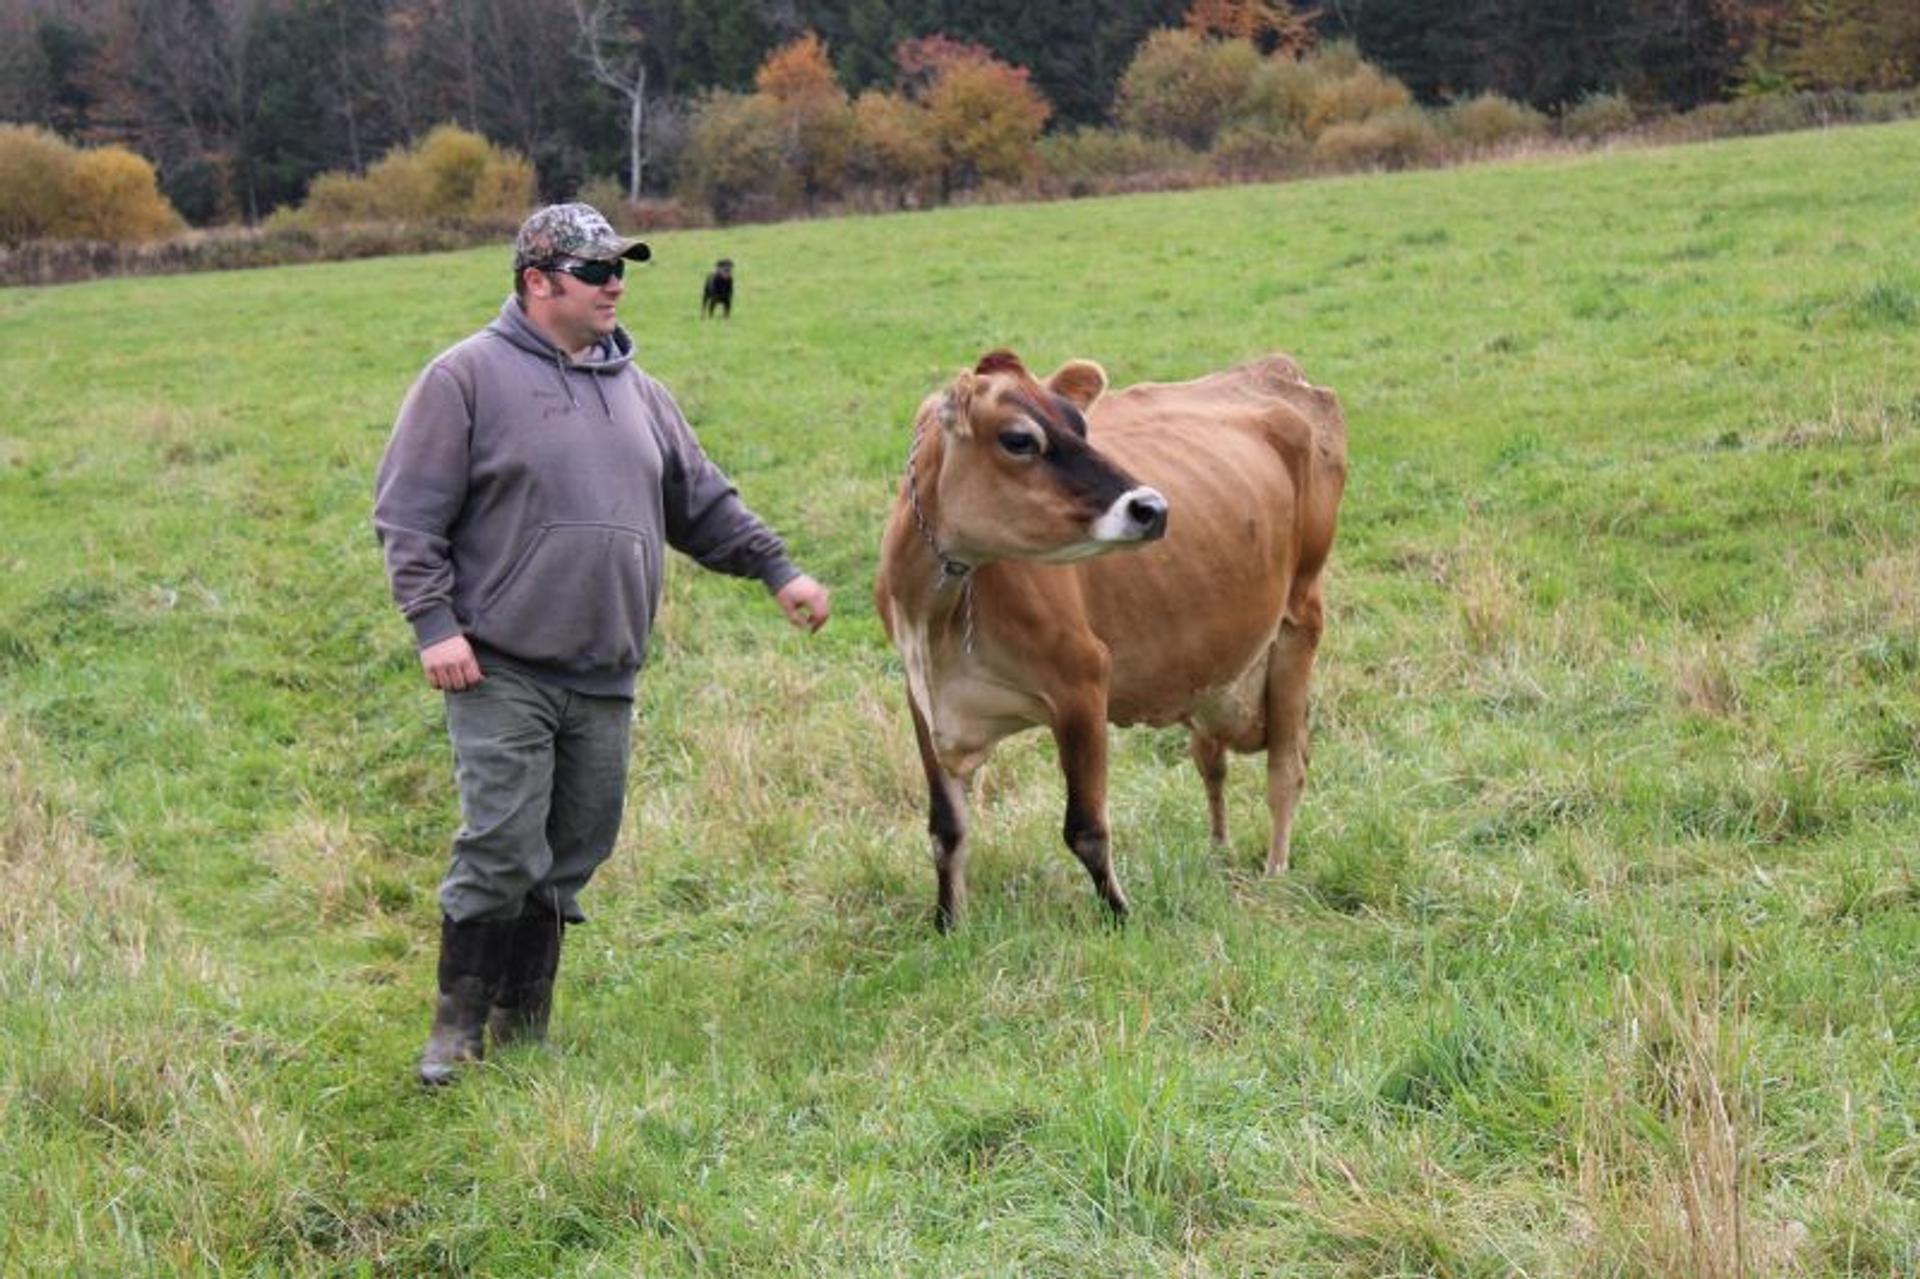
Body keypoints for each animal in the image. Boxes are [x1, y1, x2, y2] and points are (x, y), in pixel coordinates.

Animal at [879, 349, 1344, 925]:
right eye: (1018, 439)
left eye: (1081, 426)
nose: (1153, 508)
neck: (936, 620)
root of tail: (1272, 368)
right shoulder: (922, 696)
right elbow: (946, 829)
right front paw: (948, 924)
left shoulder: (1081, 681)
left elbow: (1085, 828)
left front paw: (1120, 917)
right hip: (1212, 671)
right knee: (1211, 761)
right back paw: (1218, 852)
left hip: (1300, 617)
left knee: (1286, 767)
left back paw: (1276, 870)